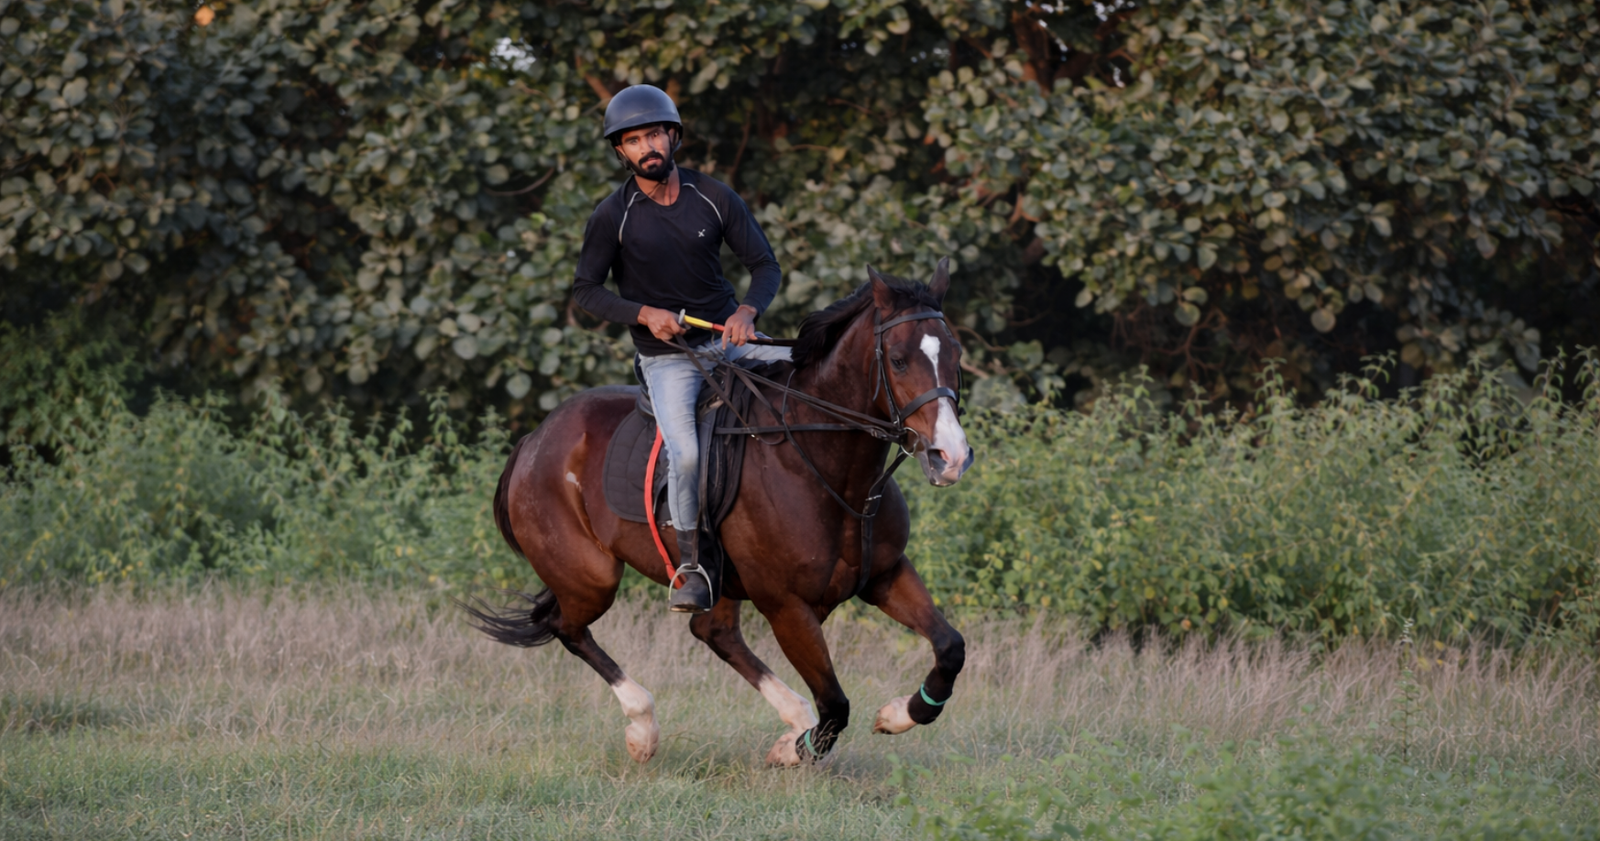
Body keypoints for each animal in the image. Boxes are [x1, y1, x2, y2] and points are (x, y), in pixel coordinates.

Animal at [465, 259, 973, 766]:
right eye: (899, 360)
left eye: (955, 355)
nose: (950, 457)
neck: (823, 461)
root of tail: (534, 439)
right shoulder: (787, 606)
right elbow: (835, 705)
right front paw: (792, 750)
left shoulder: (885, 574)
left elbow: (950, 648)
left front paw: (899, 714)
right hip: (590, 578)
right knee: (567, 628)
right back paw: (644, 726)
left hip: (712, 579)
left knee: (712, 630)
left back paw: (790, 716)